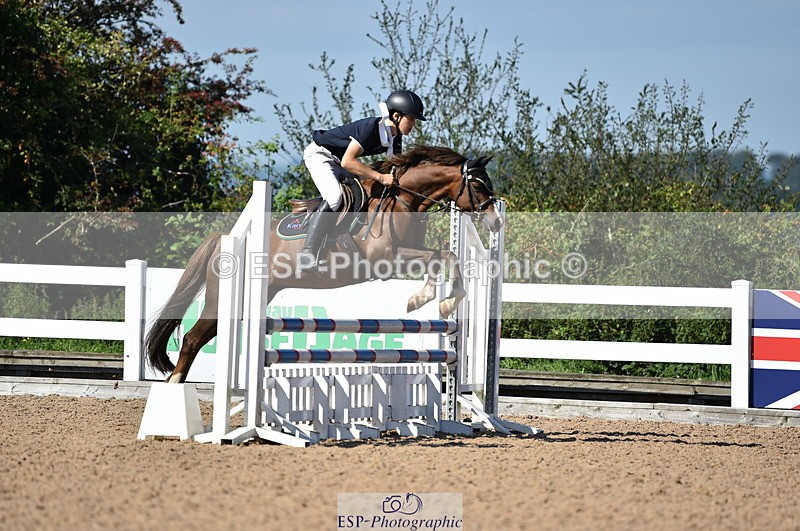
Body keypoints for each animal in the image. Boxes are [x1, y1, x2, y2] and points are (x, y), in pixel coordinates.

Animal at [146, 145, 501, 383]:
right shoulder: (386, 259)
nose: (496, 221)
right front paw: (429, 299)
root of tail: (224, 238)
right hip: (220, 300)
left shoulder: (409, 251)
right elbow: (441, 258)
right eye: (478, 185)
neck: (402, 200)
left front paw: (436, 301)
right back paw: (174, 393)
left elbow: (445, 256)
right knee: (192, 339)